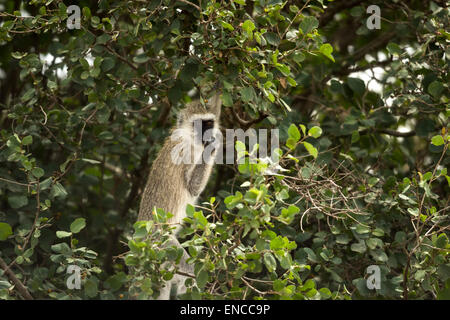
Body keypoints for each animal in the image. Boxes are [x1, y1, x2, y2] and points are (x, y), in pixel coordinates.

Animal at [137, 91, 221, 298]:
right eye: (199, 124)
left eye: (209, 123)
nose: (208, 134)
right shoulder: (187, 152)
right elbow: (193, 188)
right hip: (163, 245)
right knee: (189, 276)